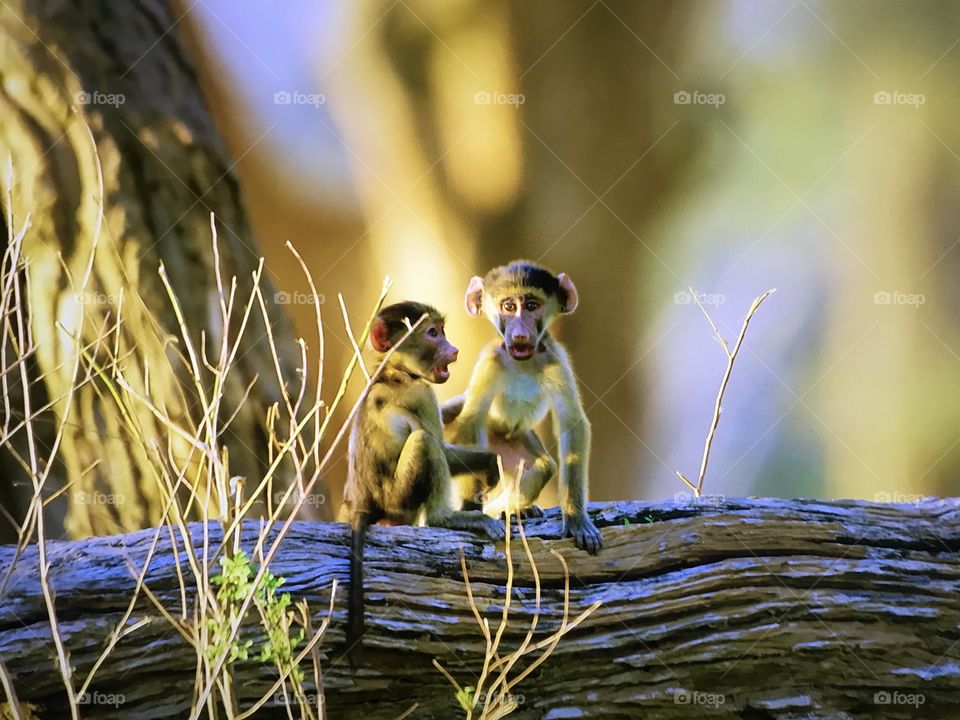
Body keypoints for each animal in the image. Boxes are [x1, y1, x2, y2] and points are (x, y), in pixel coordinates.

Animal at [339, 301, 505, 652]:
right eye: (432, 333)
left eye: (442, 331)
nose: (454, 350)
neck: (393, 370)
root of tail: (364, 503)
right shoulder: (421, 394)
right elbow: (438, 444)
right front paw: (489, 463)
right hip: (399, 498)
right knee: (424, 442)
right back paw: (450, 519)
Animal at [443, 260, 603, 555]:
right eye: (508, 306)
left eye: (531, 306)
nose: (519, 334)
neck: (523, 362)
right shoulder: (490, 361)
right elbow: (472, 418)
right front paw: (472, 510)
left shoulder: (556, 359)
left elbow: (572, 423)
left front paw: (576, 519)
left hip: (512, 443)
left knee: (544, 466)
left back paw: (512, 508)